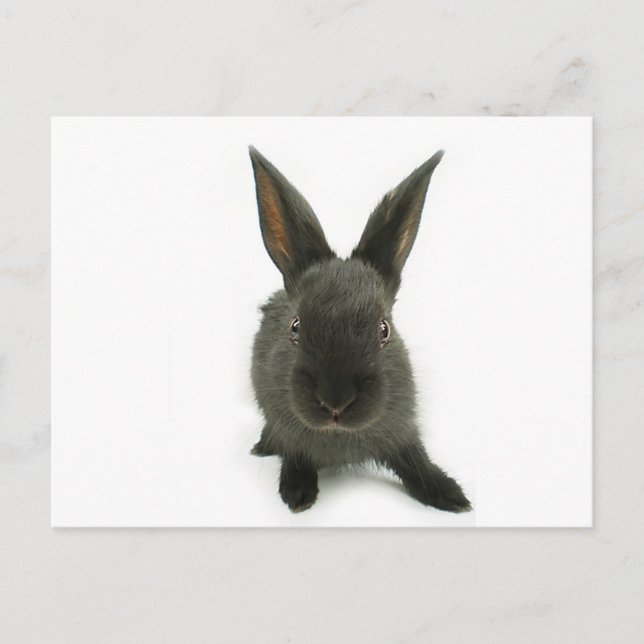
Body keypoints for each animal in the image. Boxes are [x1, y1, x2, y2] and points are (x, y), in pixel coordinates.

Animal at [248, 146, 471, 514]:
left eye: (384, 329)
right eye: (296, 328)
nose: (335, 401)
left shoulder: (404, 432)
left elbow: (417, 462)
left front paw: (450, 495)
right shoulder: (287, 430)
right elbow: (294, 455)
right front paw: (298, 494)